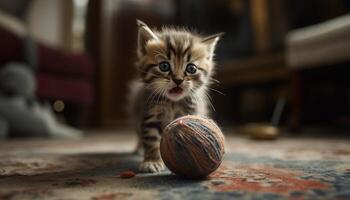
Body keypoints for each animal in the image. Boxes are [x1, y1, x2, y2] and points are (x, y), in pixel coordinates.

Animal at [129, 20, 221, 173]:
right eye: (164, 66)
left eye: (191, 68)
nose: (178, 80)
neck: (172, 103)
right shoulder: (150, 115)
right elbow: (151, 139)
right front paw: (151, 161)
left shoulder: (191, 112)